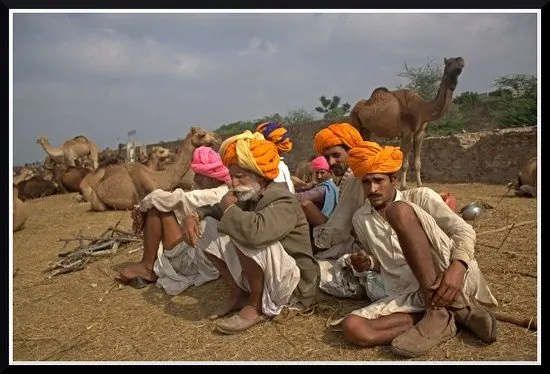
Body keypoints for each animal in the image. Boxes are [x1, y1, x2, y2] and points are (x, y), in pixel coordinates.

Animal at [350, 56, 466, 190]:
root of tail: (355, 108)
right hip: (355, 123)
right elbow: (404, 163)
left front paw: (420, 184)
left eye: (460, 61)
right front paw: (403, 186)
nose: (460, 62)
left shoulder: (420, 133)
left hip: (366, 129)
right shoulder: (407, 132)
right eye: (450, 63)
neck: (422, 109)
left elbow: (417, 162)